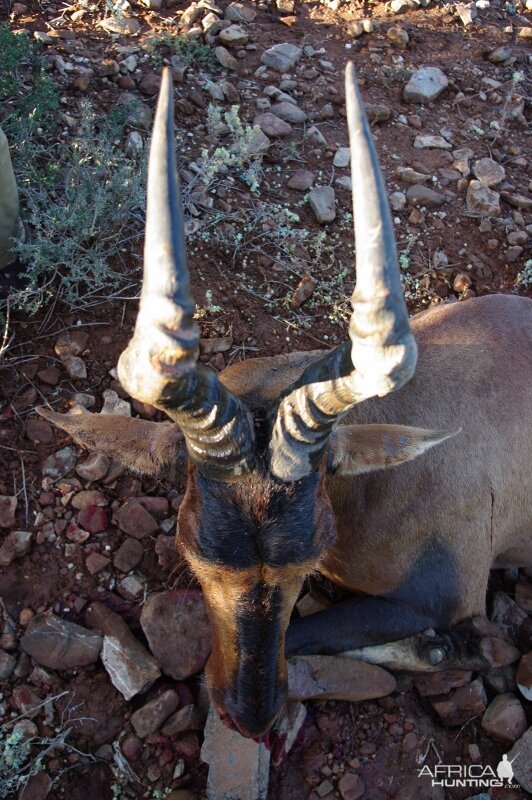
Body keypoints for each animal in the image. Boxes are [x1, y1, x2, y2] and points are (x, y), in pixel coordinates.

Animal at [41, 65, 532, 740]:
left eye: (308, 564)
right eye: (195, 558)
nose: (251, 717)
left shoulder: (450, 592)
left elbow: (310, 633)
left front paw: (447, 647)